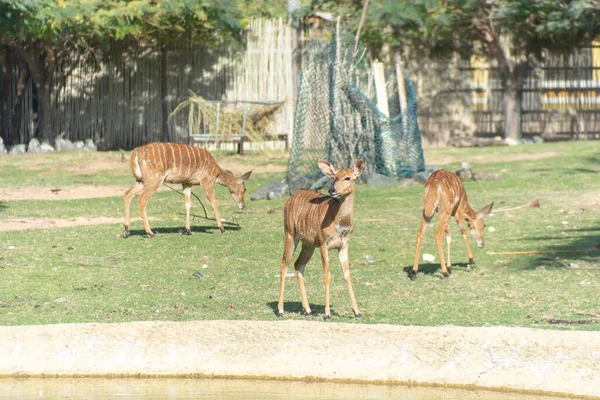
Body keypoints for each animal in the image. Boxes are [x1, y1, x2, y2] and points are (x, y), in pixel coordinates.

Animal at [123, 143, 252, 238]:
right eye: (244, 189)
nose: (242, 205)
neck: (217, 172)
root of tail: (136, 152)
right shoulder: (206, 182)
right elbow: (213, 201)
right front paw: (222, 228)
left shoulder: (187, 183)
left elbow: (188, 204)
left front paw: (188, 230)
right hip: (154, 180)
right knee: (141, 200)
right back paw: (150, 232)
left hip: (141, 181)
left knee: (127, 193)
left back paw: (126, 230)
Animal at [278, 159, 366, 318]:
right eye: (334, 177)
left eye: (348, 178)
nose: (332, 190)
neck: (339, 222)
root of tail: (290, 199)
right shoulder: (324, 245)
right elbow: (327, 275)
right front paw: (327, 314)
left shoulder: (343, 246)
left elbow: (347, 275)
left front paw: (357, 312)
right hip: (290, 234)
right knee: (284, 264)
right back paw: (281, 310)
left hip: (309, 245)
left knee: (298, 265)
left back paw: (308, 310)